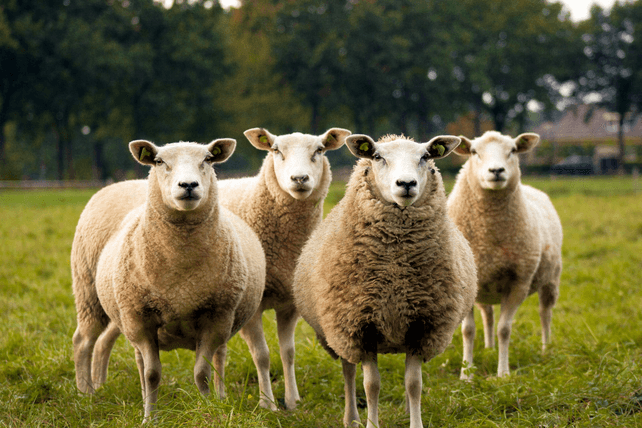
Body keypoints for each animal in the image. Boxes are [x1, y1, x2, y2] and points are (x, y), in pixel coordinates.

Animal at [73, 139, 266, 421]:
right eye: (159, 161)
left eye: (208, 159)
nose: (188, 185)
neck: (180, 277)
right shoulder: (140, 319)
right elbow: (152, 374)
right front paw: (149, 418)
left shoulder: (216, 318)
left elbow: (202, 372)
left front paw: (208, 409)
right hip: (89, 293)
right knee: (84, 341)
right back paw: (85, 394)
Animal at [216, 127, 351, 410]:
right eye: (276, 150)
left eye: (320, 149)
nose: (299, 178)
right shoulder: (253, 305)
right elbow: (262, 355)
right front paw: (267, 404)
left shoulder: (290, 303)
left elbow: (288, 353)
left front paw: (292, 400)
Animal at [292, 134, 477, 428]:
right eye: (378, 157)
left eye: (426, 157)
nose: (406, 184)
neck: (395, 270)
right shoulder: (360, 326)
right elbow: (371, 385)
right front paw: (371, 423)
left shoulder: (421, 325)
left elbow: (414, 384)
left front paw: (416, 423)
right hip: (339, 333)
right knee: (348, 372)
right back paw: (352, 418)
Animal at [446, 130, 563, 379]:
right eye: (474, 152)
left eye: (512, 150)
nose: (496, 171)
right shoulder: (464, 284)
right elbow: (468, 330)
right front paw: (466, 374)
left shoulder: (519, 282)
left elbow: (504, 329)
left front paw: (503, 374)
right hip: (483, 287)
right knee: (488, 314)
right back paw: (489, 349)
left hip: (551, 279)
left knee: (545, 313)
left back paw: (546, 348)